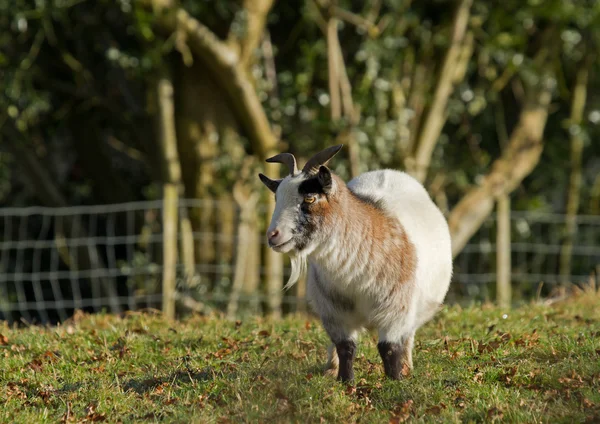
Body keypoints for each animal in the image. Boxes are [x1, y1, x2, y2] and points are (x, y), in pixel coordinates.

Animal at [256, 146, 450, 380]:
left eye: (310, 198)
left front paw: (395, 379)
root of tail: (388, 172)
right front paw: (345, 380)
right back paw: (331, 367)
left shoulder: (396, 310)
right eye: (277, 198)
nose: (273, 235)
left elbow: (388, 347)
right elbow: (345, 346)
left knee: (408, 335)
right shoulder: (333, 311)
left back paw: (406, 365)